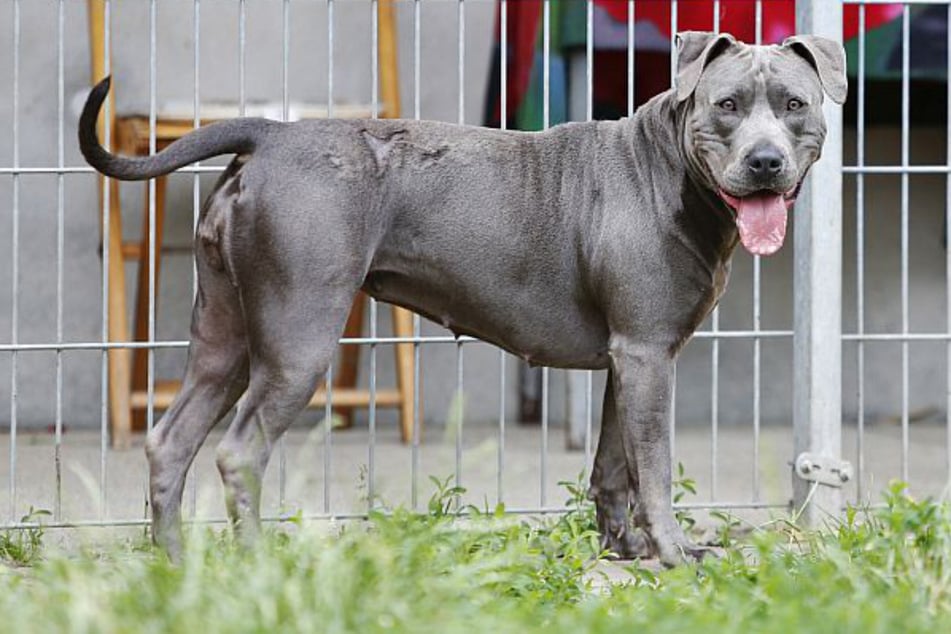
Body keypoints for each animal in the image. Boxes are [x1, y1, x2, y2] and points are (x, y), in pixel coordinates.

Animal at [78, 30, 844, 564]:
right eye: (727, 106)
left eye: (794, 105)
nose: (766, 162)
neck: (668, 171)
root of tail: (271, 133)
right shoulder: (649, 358)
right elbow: (652, 466)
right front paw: (676, 552)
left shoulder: (629, 360)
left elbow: (611, 466)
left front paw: (624, 551)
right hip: (295, 345)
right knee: (239, 453)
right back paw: (257, 563)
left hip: (225, 339)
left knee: (170, 442)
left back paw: (176, 566)